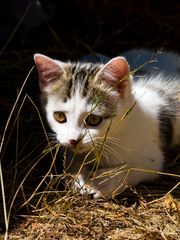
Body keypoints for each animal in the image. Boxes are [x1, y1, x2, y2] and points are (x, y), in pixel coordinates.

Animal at [33, 52, 180, 199]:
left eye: (93, 119)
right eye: (59, 116)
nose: (73, 140)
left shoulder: (153, 160)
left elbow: (134, 167)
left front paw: (103, 182)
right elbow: (71, 158)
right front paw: (78, 178)